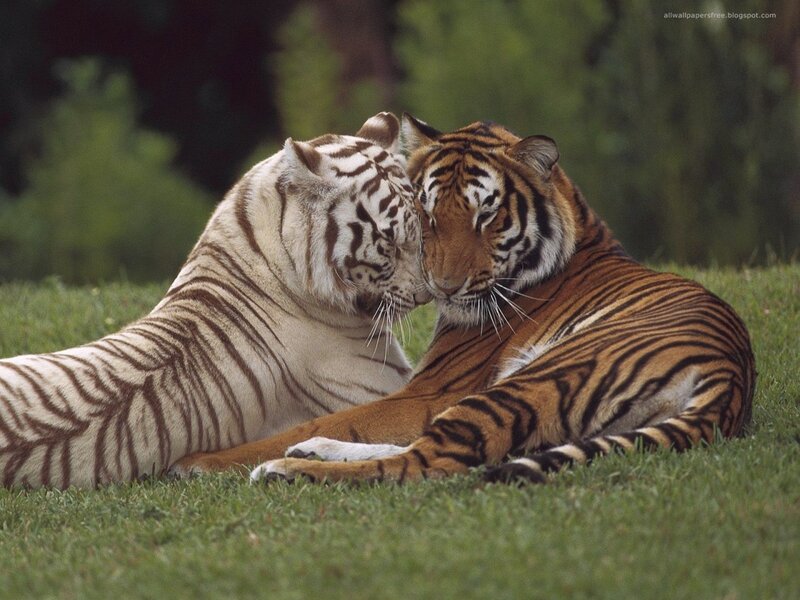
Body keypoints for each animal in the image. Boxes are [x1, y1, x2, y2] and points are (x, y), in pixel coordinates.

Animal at [170, 114, 755, 486]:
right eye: (427, 214)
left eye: (486, 216)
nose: (443, 288)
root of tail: (728, 377)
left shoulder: (431, 391)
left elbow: (327, 418)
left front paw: (199, 461)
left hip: (532, 381)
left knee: (424, 463)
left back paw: (288, 470)